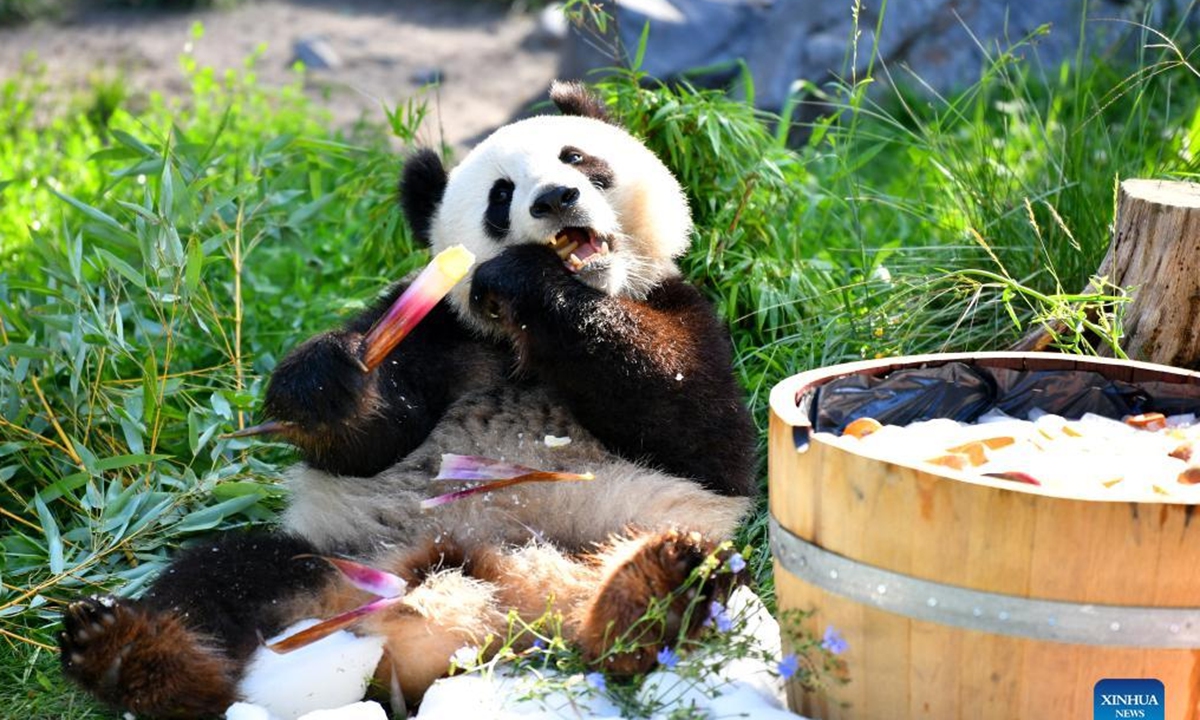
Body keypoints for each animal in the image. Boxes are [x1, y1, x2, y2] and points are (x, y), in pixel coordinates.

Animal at [58, 81, 757, 718]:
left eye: (578, 157)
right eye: (501, 196)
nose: (556, 199)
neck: (518, 339)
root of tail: (490, 607)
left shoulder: (685, 313)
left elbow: (696, 431)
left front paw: (533, 282)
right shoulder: (440, 331)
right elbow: (371, 444)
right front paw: (322, 385)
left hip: (616, 535)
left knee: (679, 589)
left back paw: (650, 589)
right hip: (340, 558)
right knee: (218, 575)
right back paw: (129, 654)